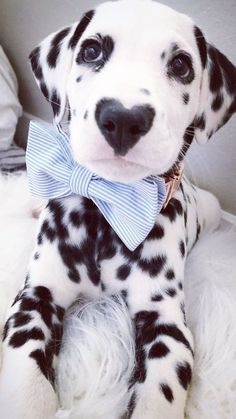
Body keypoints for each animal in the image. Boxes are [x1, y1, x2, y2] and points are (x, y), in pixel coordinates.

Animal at [0, 0, 236, 418]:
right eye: (91, 50)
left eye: (181, 65)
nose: (124, 117)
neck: (105, 214)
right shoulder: (36, 296)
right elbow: (25, 377)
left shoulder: (166, 325)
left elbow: (160, 394)